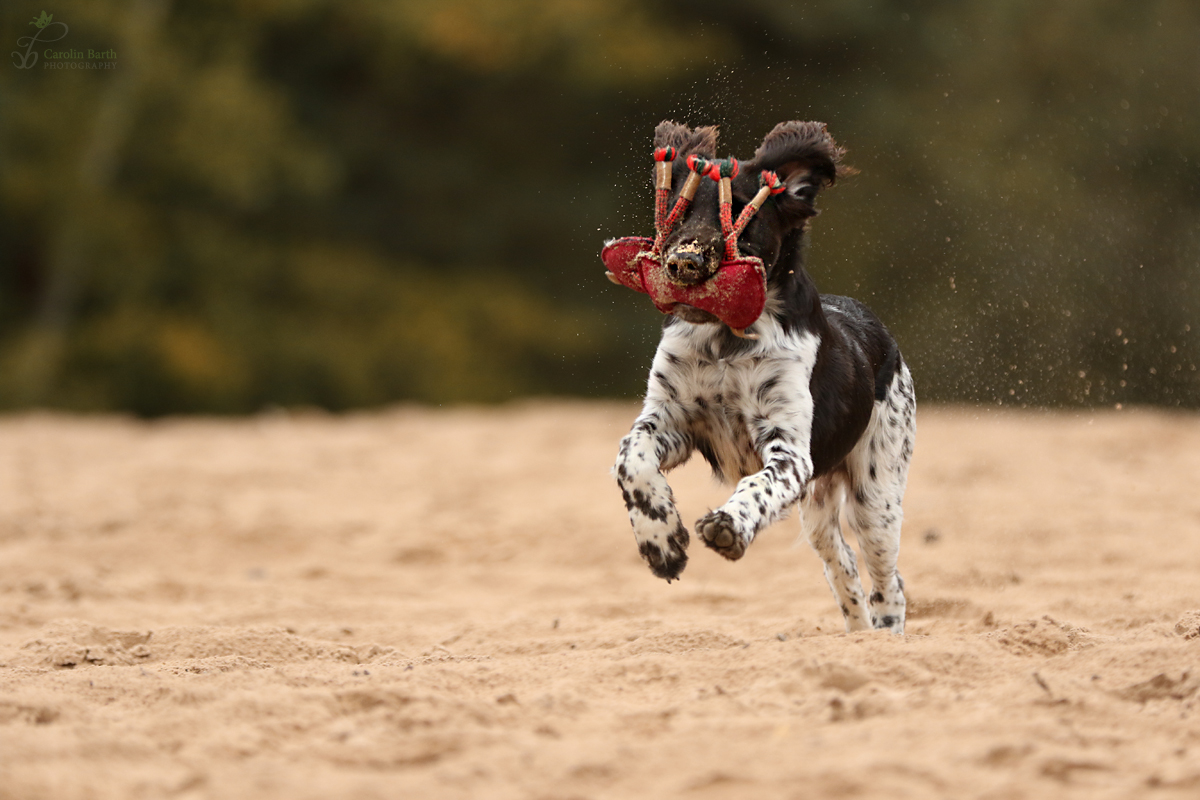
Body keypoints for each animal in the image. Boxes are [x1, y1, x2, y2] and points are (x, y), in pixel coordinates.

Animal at [614, 120, 912, 633]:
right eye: (679, 209)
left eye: (741, 213)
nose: (684, 263)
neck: (724, 341)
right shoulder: (671, 418)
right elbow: (630, 458)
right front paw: (662, 543)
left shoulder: (788, 448)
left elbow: (758, 485)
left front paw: (727, 526)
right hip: (819, 506)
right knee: (842, 565)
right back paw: (858, 636)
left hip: (876, 495)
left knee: (887, 580)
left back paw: (887, 636)